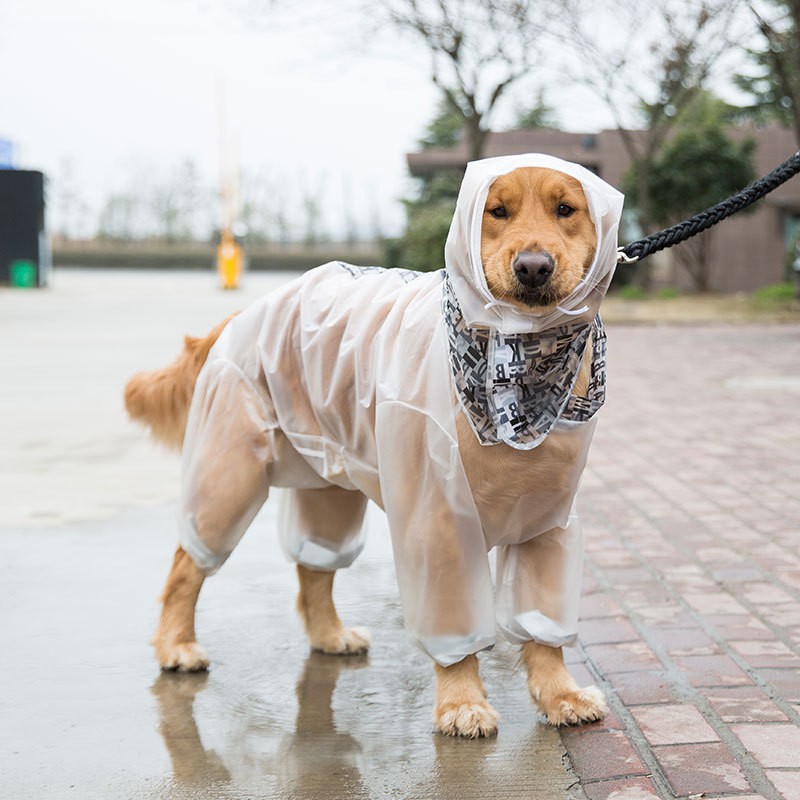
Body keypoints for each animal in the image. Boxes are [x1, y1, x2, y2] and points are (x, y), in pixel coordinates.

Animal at [126, 156, 624, 736]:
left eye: (565, 209)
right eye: (496, 212)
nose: (534, 267)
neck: (522, 360)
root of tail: (253, 308)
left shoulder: (549, 515)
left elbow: (541, 623)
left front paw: (560, 694)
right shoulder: (437, 519)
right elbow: (453, 624)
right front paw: (461, 702)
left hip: (329, 480)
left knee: (312, 567)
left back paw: (328, 634)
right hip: (229, 471)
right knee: (188, 564)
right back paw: (176, 645)